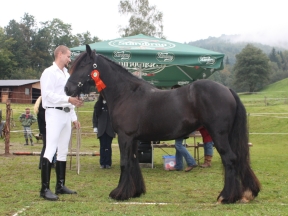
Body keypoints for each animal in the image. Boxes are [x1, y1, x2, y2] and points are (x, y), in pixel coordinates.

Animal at [64, 44, 260, 203]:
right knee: (238, 159)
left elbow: (125, 163)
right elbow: (134, 162)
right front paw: (135, 192)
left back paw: (226, 197)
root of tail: (227, 89)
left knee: (230, 159)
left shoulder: (125, 137)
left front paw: (119, 193)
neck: (126, 93)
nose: (67, 89)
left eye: (83, 64)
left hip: (218, 135)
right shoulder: (133, 139)